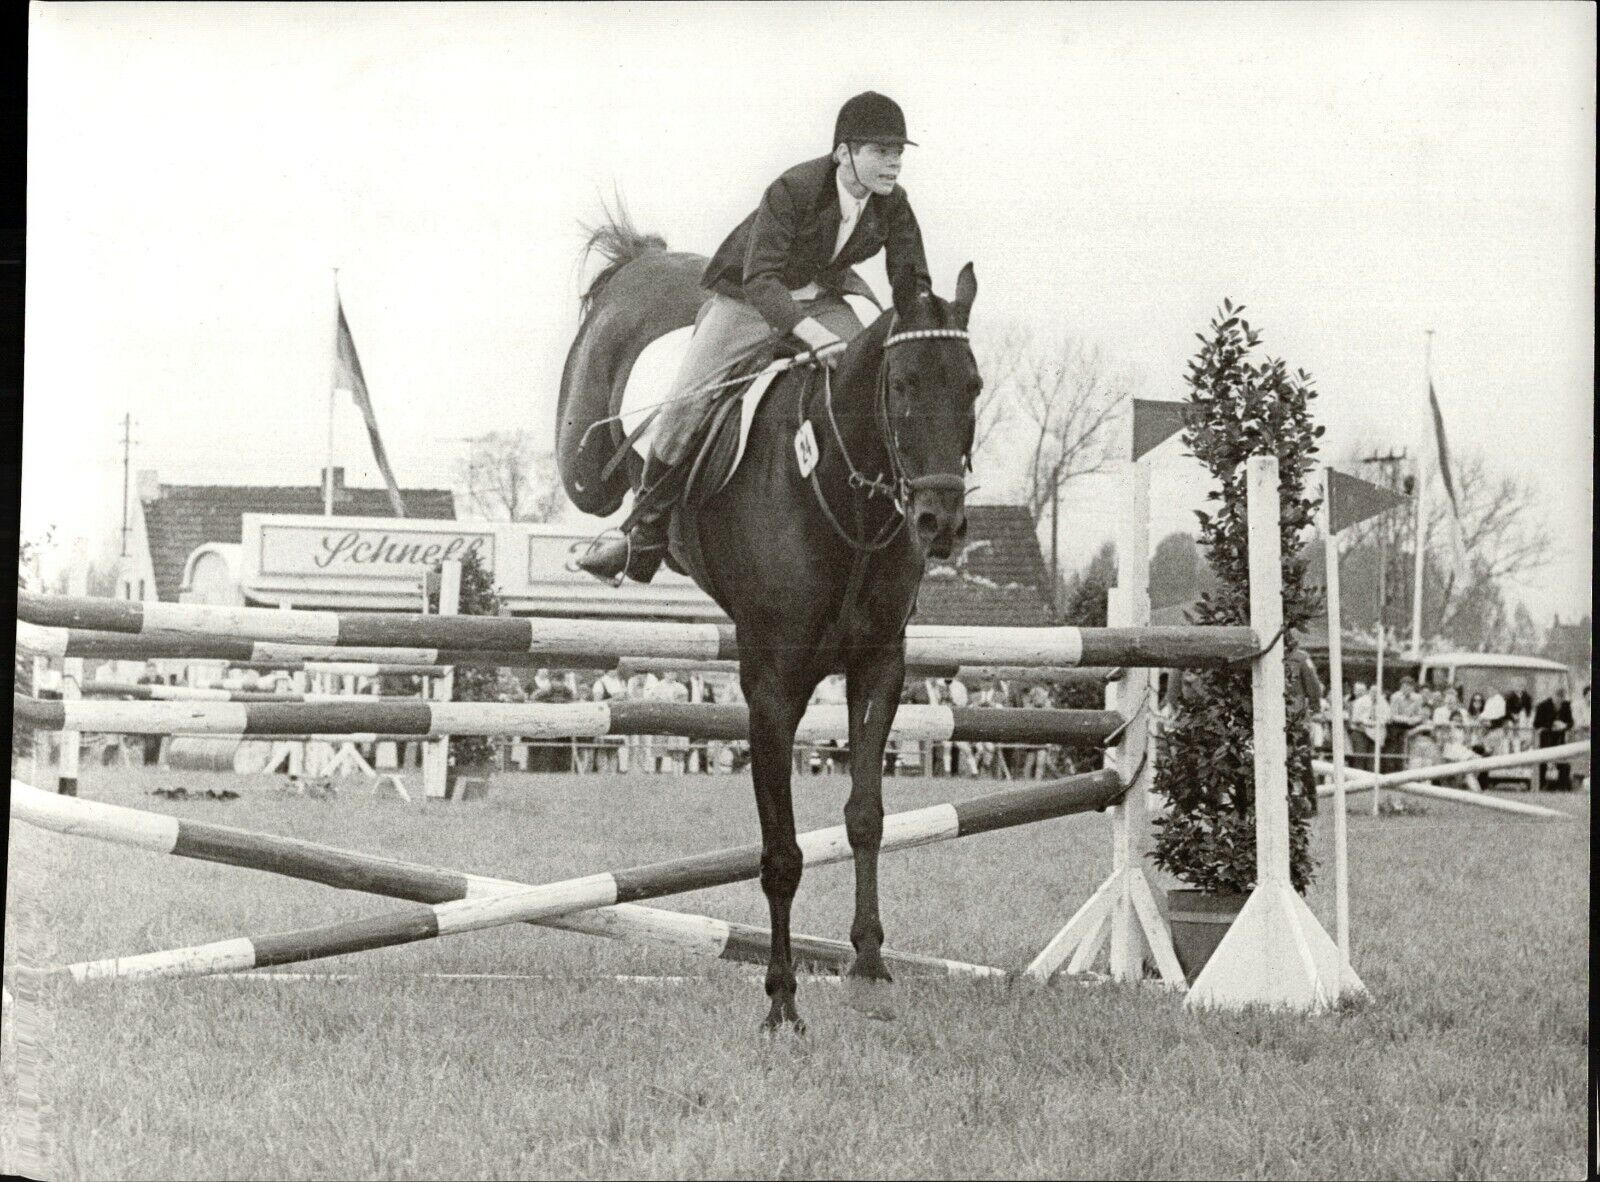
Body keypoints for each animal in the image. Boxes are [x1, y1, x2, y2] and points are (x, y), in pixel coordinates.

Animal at [556, 217, 979, 1030]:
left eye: (973, 386)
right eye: (904, 386)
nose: (940, 523)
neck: (843, 494)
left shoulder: (879, 667)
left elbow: (865, 817)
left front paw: (869, 968)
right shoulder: (772, 687)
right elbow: (781, 852)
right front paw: (782, 1001)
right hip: (594, 447)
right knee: (598, 461)